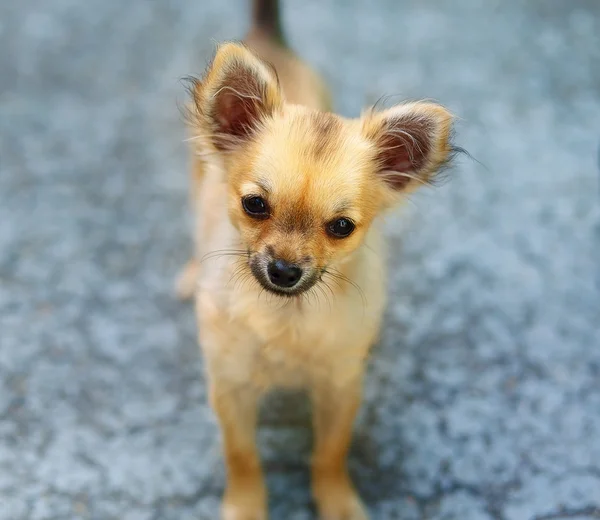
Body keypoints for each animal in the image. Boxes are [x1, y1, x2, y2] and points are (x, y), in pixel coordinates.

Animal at [177, 1, 454, 520]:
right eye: (254, 205)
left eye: (341, 227)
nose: (285, 271)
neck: (288, 316)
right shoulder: (230, 386)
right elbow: (242, 456)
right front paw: (246, 505)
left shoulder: (340, 387)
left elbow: (329, 453)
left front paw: (337, 501)